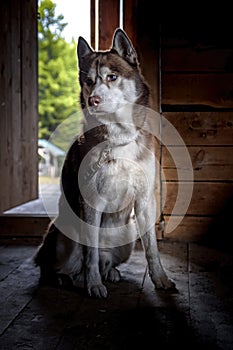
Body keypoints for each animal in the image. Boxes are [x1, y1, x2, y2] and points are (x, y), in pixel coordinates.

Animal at [34, 28, 175, 298]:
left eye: (112, 77)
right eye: (89, 81)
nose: (93, 100)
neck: (120, 138)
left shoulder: (145, 200)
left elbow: (152, 248)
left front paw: (161, 279)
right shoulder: (90, 201)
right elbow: (90, 254)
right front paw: (93, 285)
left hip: (127, 235)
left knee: (105, 260)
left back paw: (109, 272)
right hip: (65, 237)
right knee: (57, 267)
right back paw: (68, 278)